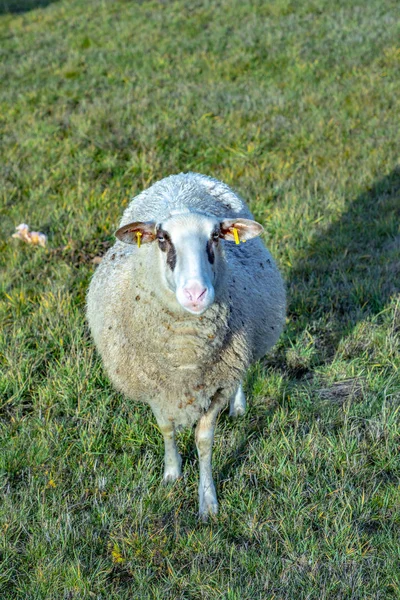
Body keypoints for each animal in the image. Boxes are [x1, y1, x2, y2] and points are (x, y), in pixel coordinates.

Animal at [86, 173, 286, 520]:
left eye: (216, 236)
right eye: (162, 238)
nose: (195, 294)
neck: (186, 358)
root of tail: (185, 176)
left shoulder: (218, 382)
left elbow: (204, 442)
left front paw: (208, 502)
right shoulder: (154, 385)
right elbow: (166, 429)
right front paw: (172, 474)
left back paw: (239, 406)